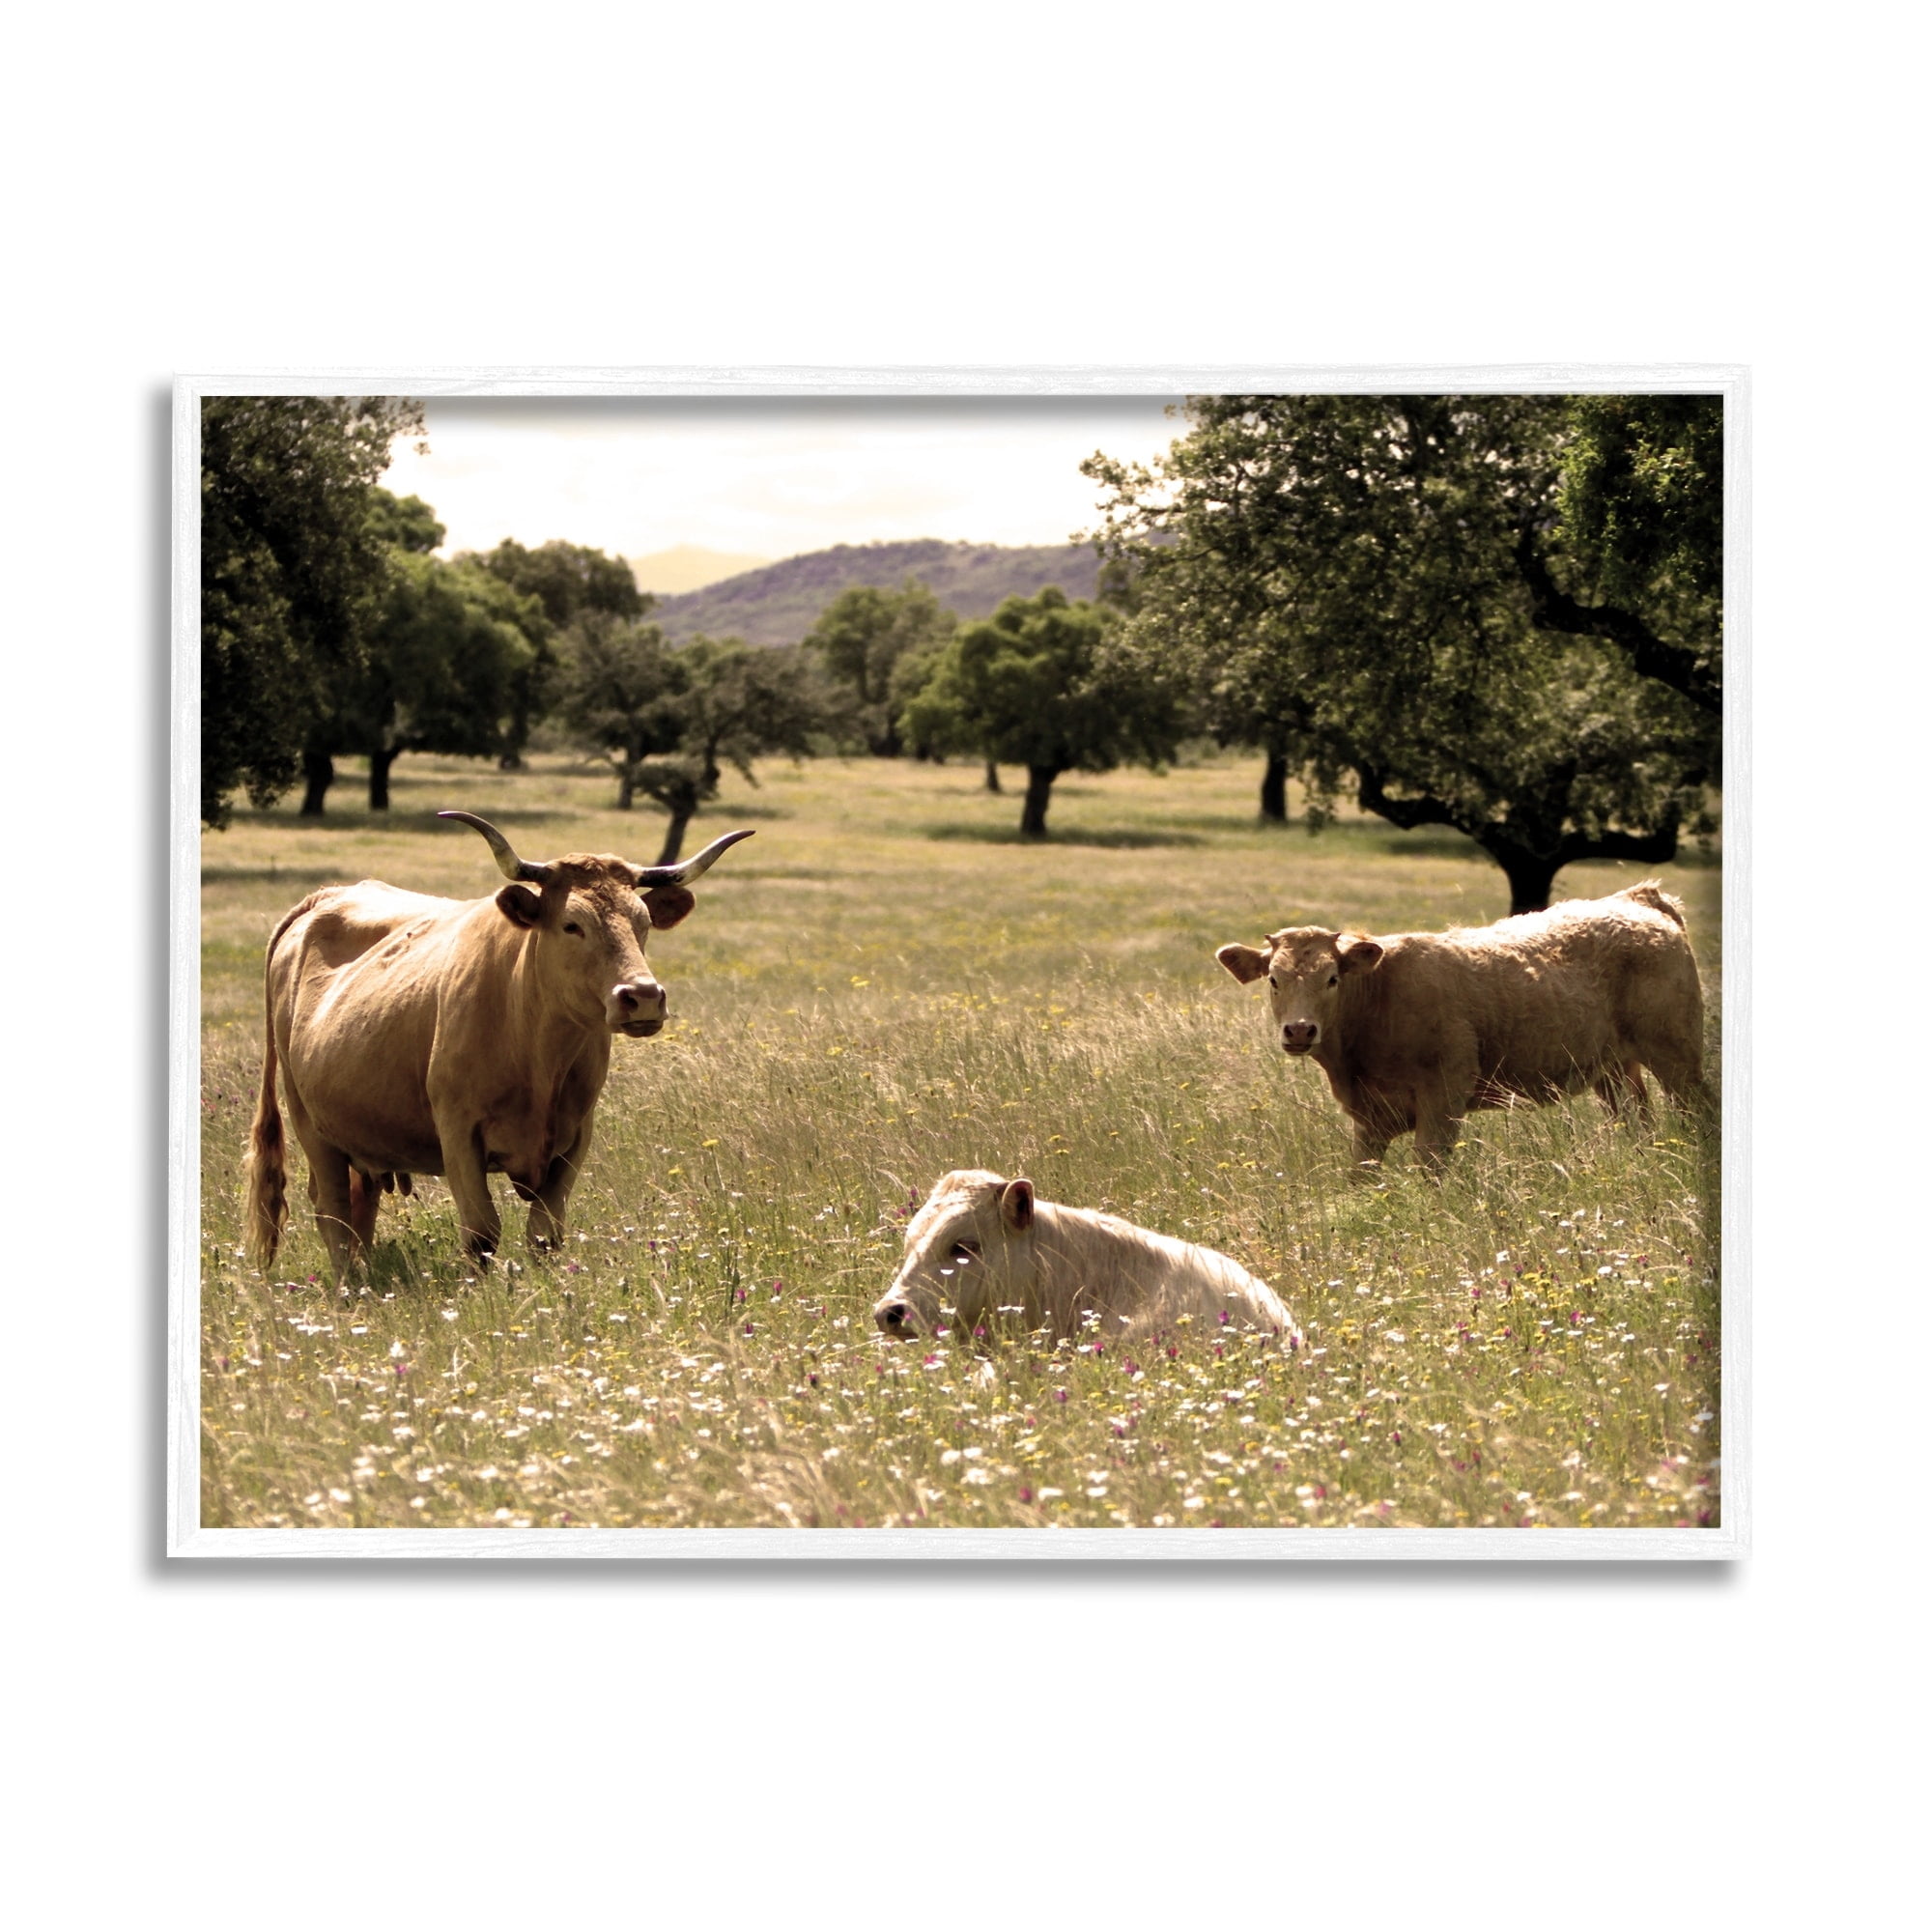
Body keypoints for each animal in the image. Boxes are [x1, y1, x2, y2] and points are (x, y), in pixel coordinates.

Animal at [244, 811, 752, 1273]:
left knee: (358, 1207)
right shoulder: (458, 1132)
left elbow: (545, 1233)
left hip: (360, 1132)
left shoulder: (575, 1137)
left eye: (643, 922)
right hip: (310, 1123)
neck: (536, 1053)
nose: (643, 996)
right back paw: (349, 1287)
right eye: (572, 924)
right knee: (331, 1210)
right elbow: (481, 1233)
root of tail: (325, 896)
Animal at [1214, 882, 1707, 1175]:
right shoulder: (1369, 1121)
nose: (1299, 1031)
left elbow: (1429, 1170)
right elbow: (1360, 1178)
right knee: (1638, 1120)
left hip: (1677, 1056)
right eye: (1273, 979)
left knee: (1696, 1111)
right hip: (1615, 1069)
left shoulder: (1443, 1097)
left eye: (1332, 978)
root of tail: (1636, 898)